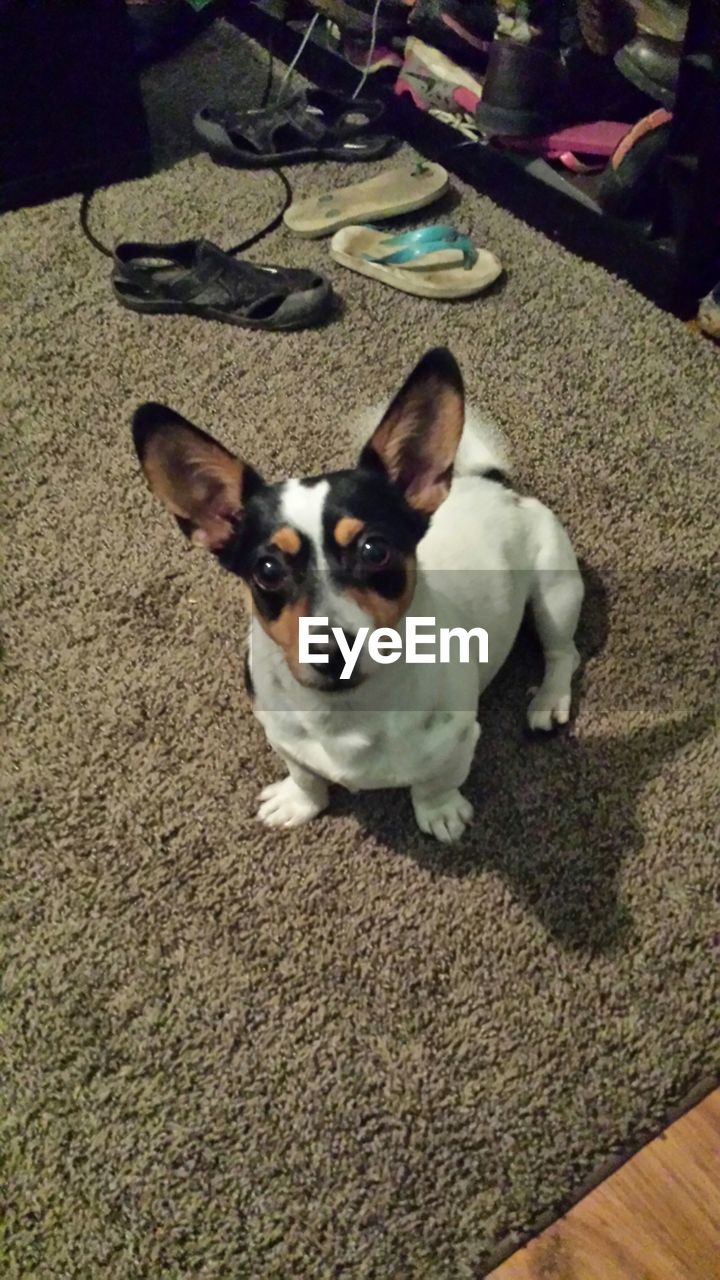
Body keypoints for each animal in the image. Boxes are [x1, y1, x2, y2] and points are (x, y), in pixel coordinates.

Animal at [133, 348, 584, 839]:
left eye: (374, 550)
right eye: (267, 570)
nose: (332, 653)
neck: (345, 713)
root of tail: (495, 483)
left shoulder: (459, 740)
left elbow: (435, 783)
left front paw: (441, 813)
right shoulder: (284, 738)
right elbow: (305, 775)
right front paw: (299, 802)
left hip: (555, 591)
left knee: (564, 653)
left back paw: (548, 700)